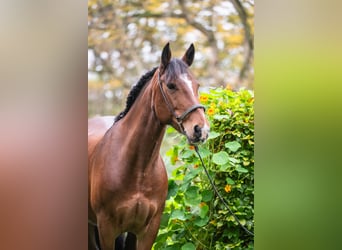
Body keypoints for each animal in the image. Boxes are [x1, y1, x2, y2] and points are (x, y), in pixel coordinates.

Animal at [87, 43, 211, 250]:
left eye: (197, 85)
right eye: (171, 85)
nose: (201, 129)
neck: (139, 170)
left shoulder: (147, 230)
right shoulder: (107, 229)